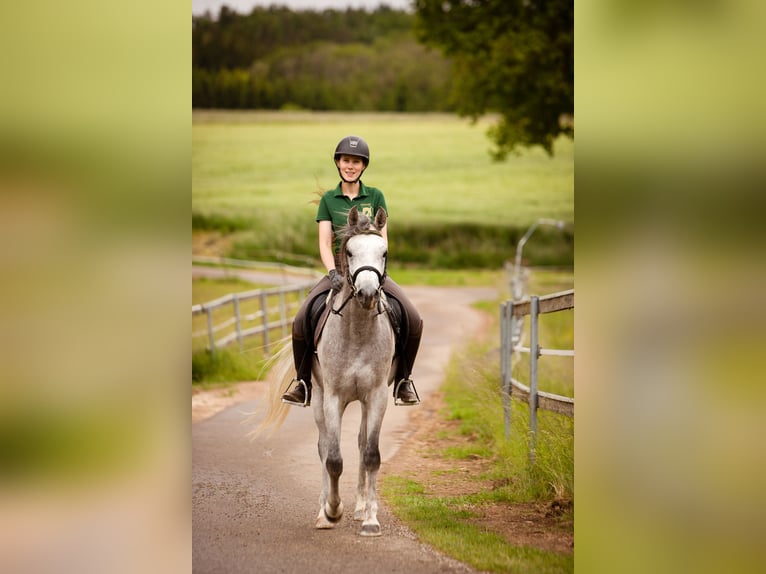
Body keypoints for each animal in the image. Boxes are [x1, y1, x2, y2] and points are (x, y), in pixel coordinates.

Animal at [257, 205, 396, 537]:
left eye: (384, 252)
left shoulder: (377, 397)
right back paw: (324, 512)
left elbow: (371, 455)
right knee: (322, 448)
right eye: (350, 251)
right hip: (319, 398)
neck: (358, 331)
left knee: (360, 442)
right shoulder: (333, 398)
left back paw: (360, 508)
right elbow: (332, 458)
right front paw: (332, 512)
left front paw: (371, 520)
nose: (368, 293)